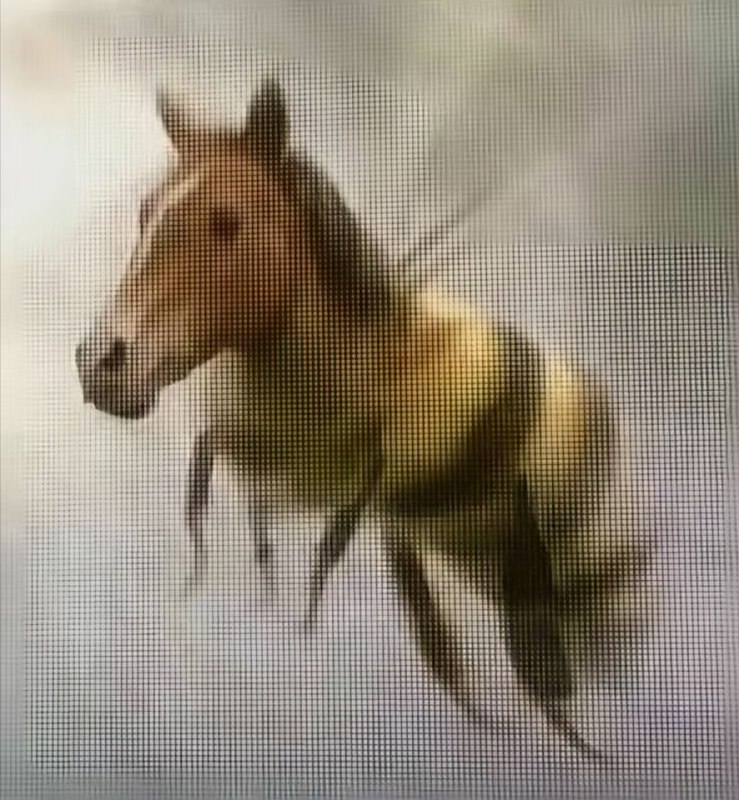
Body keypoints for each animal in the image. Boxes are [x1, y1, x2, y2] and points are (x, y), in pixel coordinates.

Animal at [75, 77, 649, 761]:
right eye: (146, 212)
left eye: (227, 222)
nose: (102, 362)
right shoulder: (265, 458)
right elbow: (217, 485)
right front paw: (228, 583)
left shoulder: (361, 474)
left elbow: (330, 535)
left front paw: (299, 617)